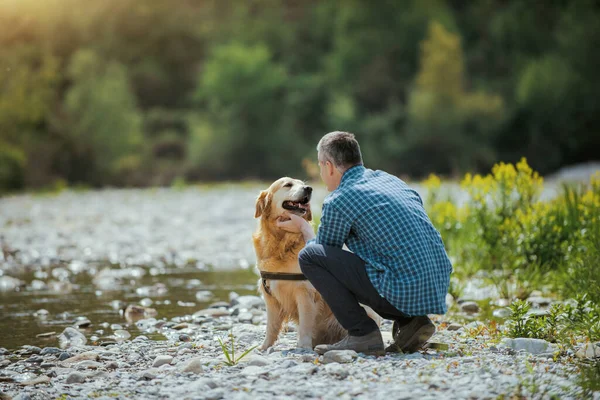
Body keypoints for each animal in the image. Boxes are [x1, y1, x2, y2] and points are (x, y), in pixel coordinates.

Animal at [252, 178, 382, 350]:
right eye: (288, 185)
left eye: (302, 184)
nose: (308, 188)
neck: (282, 244)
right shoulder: (270, 296)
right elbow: (271, 327)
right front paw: (264, 347)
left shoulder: (304, 293)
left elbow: (305, 325)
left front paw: (303, 347)